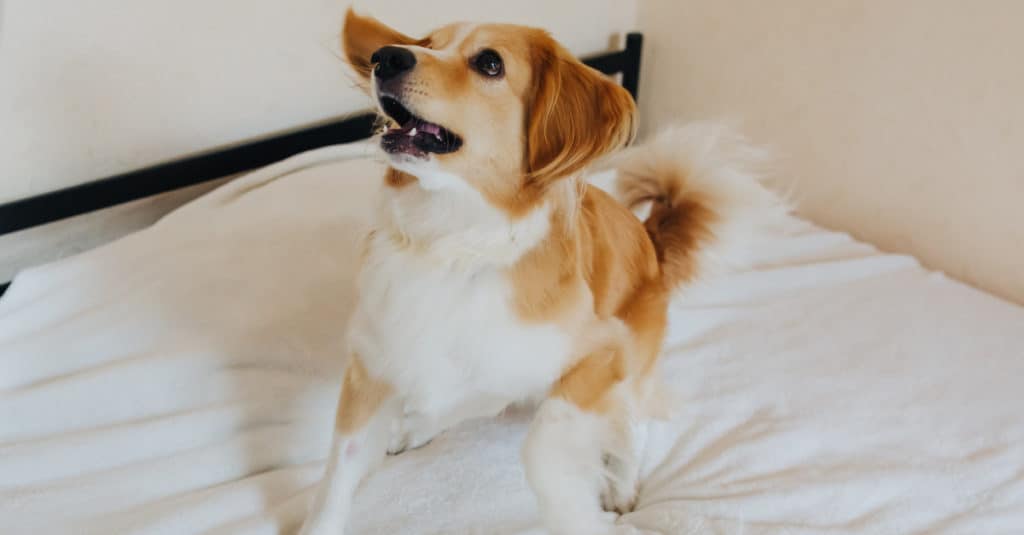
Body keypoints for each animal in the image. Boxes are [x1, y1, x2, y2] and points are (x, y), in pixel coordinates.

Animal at [299, 9, 786, 532]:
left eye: (489, 63)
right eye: (428, 44)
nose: (385, 56)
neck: (454, 242)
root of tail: (652, 240)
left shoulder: (602, 352)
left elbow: (542, 446)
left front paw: (573, 511)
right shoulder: (371, 362)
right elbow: (338, 472)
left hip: (632, 365)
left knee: (631, 426)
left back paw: (623, 486)